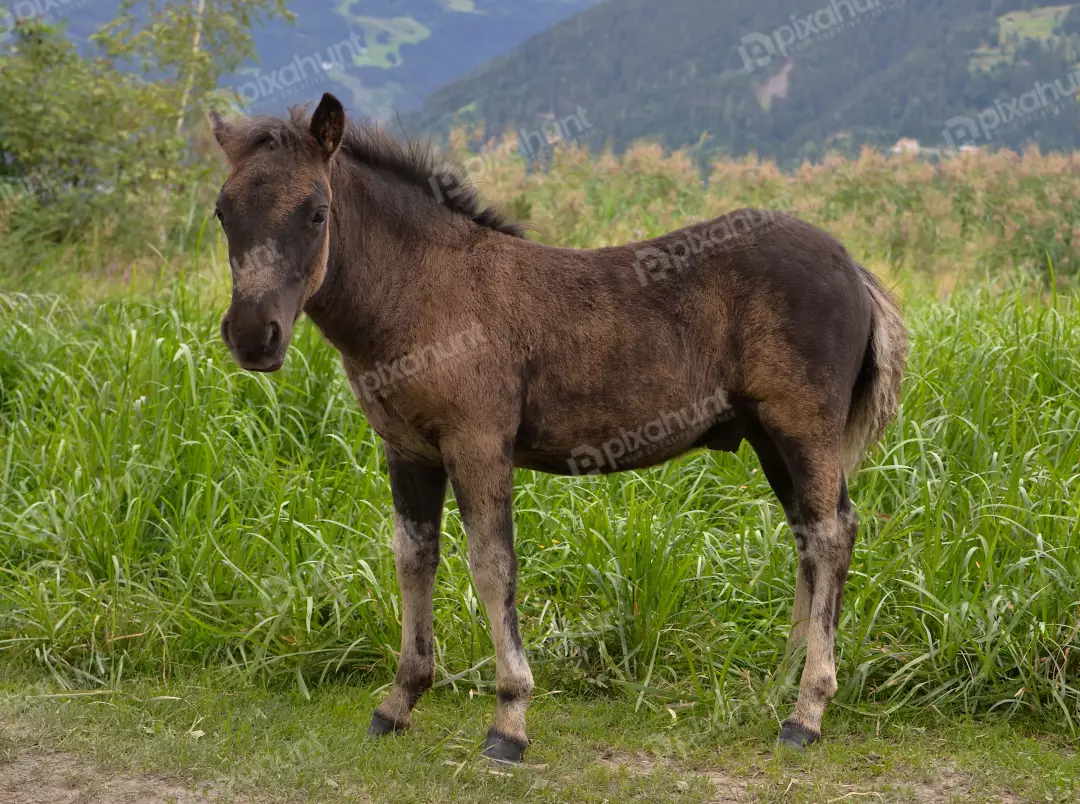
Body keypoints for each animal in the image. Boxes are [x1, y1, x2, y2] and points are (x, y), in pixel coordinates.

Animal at [208, 93, 906, 763]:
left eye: (316, 211)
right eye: (222, 212)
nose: (253, 335)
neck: (423, 291)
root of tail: (855, 271)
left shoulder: (479, 444)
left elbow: (493, 566)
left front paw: (509, 724)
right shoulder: (407, 450)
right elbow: (413, 559)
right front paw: (398, 703)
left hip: (802, 427)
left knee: (831, 534)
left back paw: (806, 712)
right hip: (769, 438)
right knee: (812, 534)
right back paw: (780, 686)